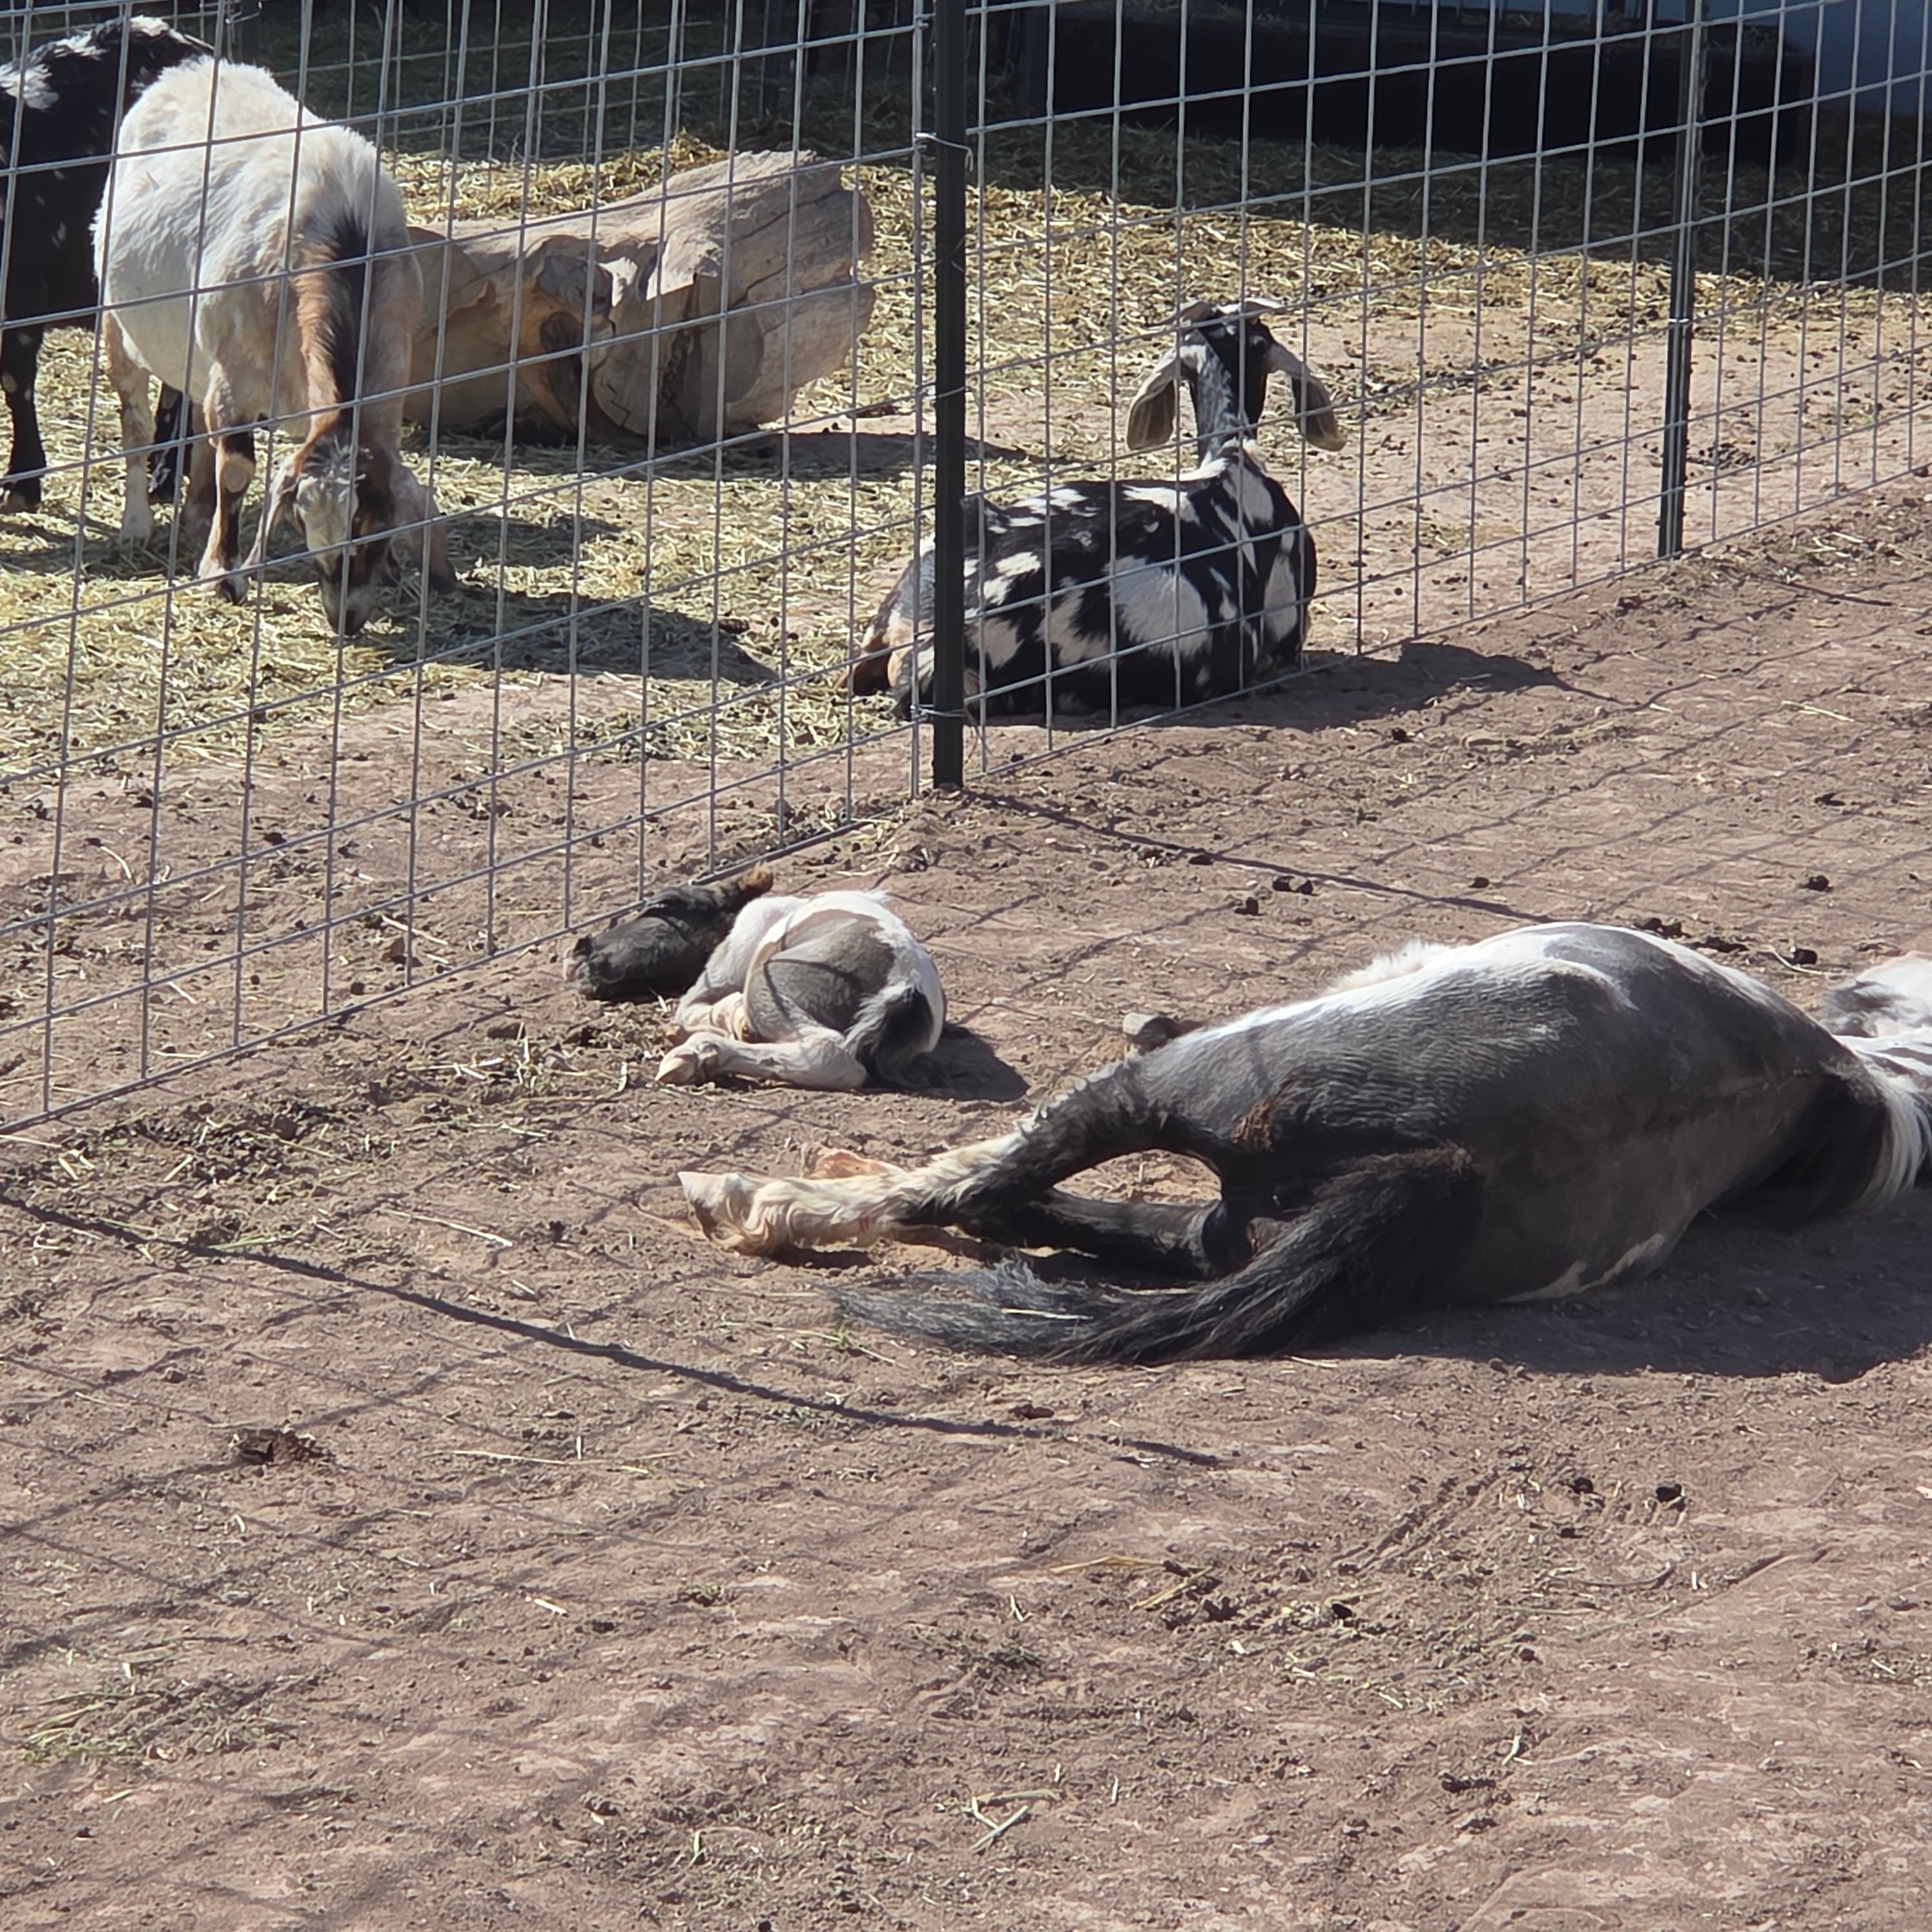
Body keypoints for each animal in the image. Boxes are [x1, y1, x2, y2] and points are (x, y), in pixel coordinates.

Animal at [95, 57, 455, 634]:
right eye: (307, 522)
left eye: (374, 528)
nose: (344, 618)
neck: (345, 239)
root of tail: (194, 67)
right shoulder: (237, 375)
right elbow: (237, 469)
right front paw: (223, 574)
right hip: (118, 320)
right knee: (137, 424)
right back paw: (137, 523)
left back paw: (197, 514)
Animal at [678, 923, 1932, 1362]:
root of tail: (1448, 1170)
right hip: (1229, 1220)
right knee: (1064, 1215)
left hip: (1181, 1086)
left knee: (977, 1186)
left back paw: (755, 1197)